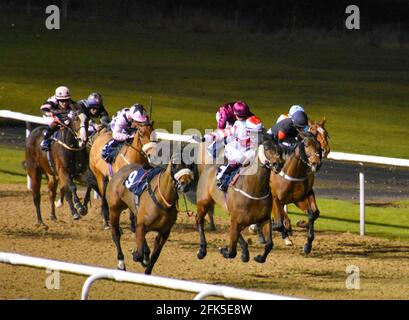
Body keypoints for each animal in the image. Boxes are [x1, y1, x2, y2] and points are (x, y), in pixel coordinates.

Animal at [196, 134, 282, 264]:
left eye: (279, 149)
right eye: (266, 148)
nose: (278, 164)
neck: (254, 189)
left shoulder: (264, 219)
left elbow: (269, 244)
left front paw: (258, 257)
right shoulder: (236, 219)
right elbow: (231, 252)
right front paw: (223, 250)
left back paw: (245, 252)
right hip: (204, 202)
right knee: (199, 220)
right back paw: (202, 250)